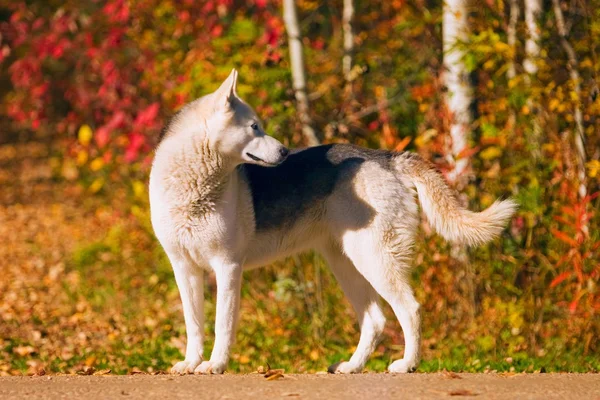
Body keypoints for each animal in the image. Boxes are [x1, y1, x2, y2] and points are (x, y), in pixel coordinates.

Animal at [149, 69, 516, 376]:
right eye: (254, 127)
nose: (285, 152)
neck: (194, 186)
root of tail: (386, 157)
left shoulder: (227, 267)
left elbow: (222, 324)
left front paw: (215, 365)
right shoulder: (184, 268)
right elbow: (194, 324)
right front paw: (191, 363)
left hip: (375, 260)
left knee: (409, 308)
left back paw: (407, 364)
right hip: (346, 263)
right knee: (375, 320)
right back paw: (353, 366)